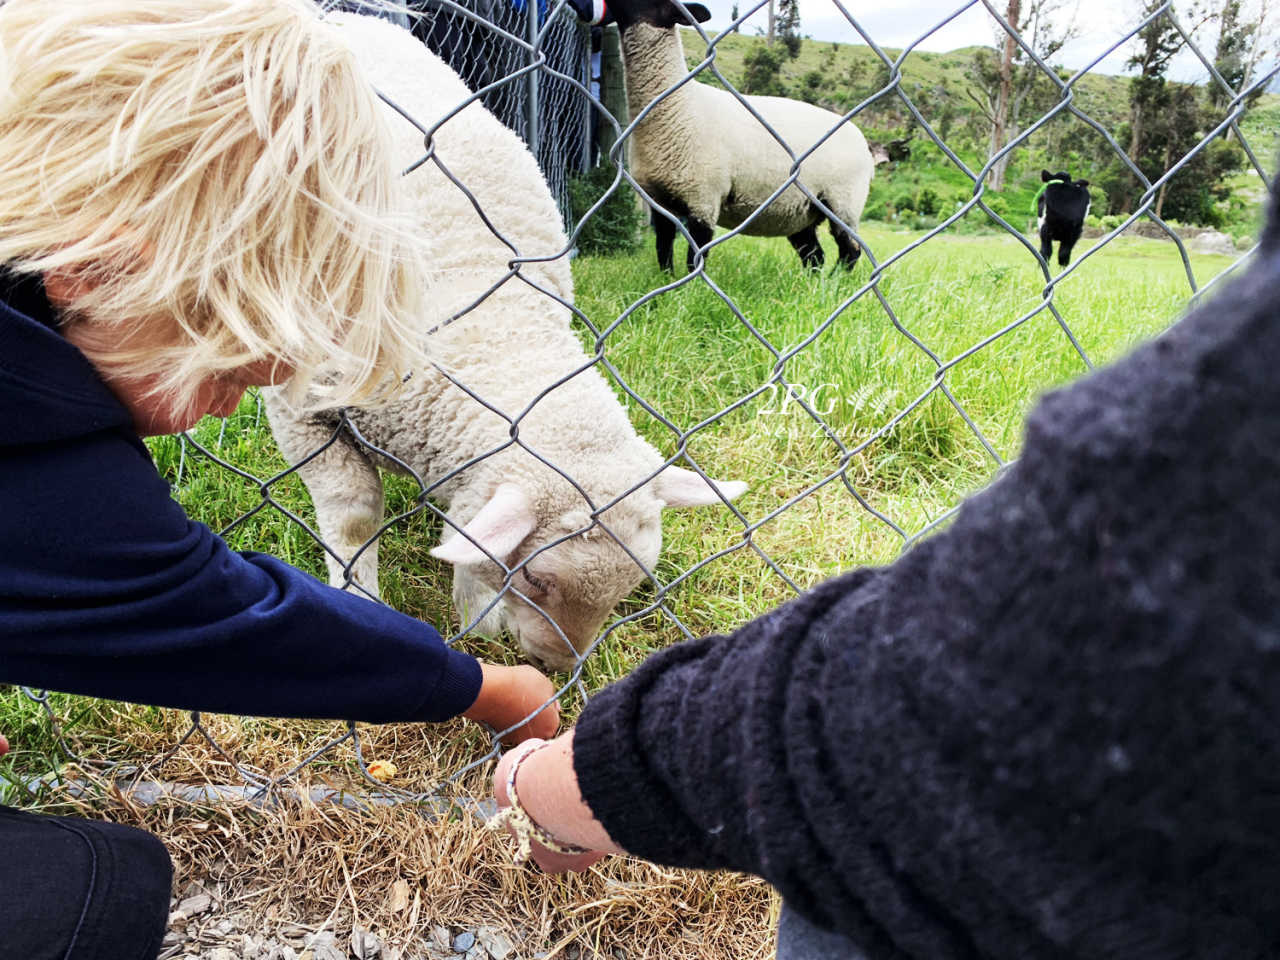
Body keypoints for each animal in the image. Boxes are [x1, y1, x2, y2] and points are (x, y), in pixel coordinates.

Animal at [258, 15, 747, 675]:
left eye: (631, 587)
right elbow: (355, 517)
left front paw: (476, 617)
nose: (559, 666)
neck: (493, 327)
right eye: (536, 579)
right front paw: (362, 598)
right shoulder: (302, 405)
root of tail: (348, 16)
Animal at [578, 0, 870, 273]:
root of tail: (862, 142)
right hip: (798, 210)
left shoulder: (703, 197)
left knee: (850, 250)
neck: (677, 106)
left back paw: (836, 282)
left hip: (843, 200)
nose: (582, 6)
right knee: (814, 256)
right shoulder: (659, 200)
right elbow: (663, 248)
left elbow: (695, 256)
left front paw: (691, 288)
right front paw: (667, 281)